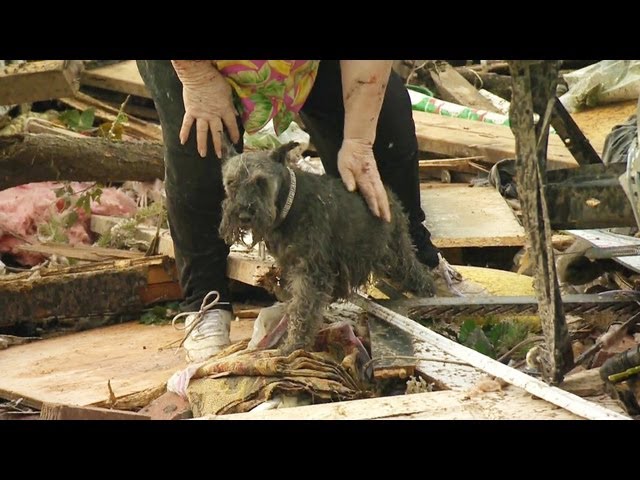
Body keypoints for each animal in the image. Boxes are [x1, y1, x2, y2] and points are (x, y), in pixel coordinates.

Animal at [220, 142, 436, 352]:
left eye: (261, 181)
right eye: (230, 182)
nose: (244, 216)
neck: (288, 203)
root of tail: (388, 194)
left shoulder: (311, 272)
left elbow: (302, 309)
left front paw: (294, 345)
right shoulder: (292, 265)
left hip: (395, 251)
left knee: (415, 272)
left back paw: (428, 293)